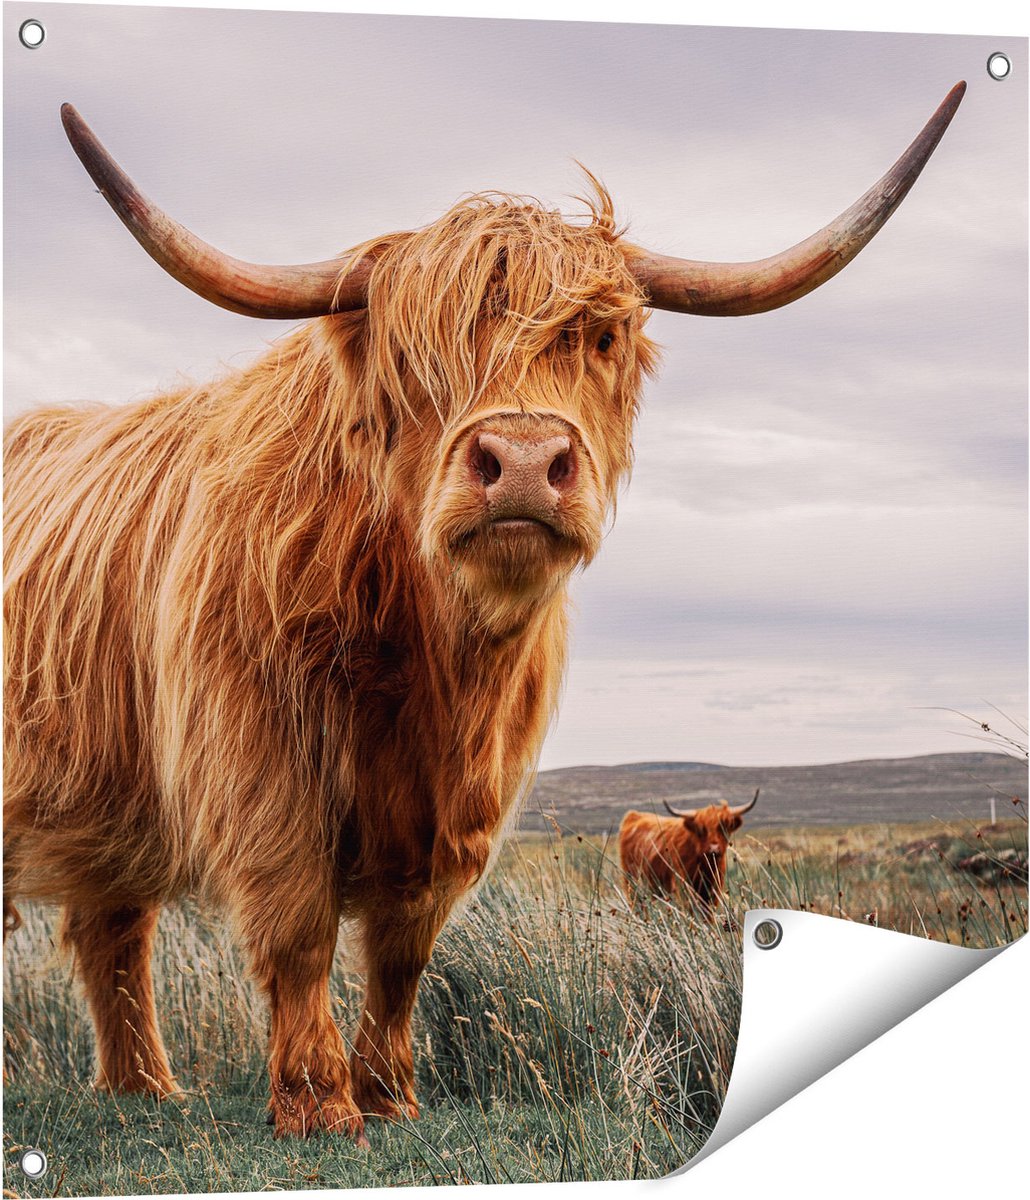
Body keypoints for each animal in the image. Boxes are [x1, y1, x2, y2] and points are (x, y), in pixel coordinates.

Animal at [618, 791, 760, 914]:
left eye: (724, 827)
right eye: (701, 830)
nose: (714, 849)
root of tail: (634, 815)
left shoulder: (712, 893)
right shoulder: (683, 890)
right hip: (632, 882)